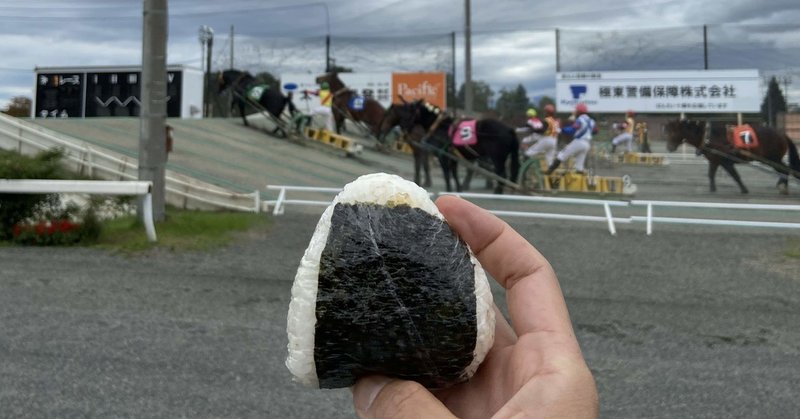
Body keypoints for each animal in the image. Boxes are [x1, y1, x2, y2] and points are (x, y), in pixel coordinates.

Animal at [664, 120, 800, 195]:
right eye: (667, 132)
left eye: (673, 132)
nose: (669, 148)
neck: (709, 137)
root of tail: (781, 134)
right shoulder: (717, 161)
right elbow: (712, 174)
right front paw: (712, 189)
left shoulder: (723, 160)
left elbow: (734, 175)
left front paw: (744, 189)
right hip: (773, 158)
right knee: (784, 169)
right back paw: (782, 185)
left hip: (773, 158)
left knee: (784, 169)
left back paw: (783, 186)